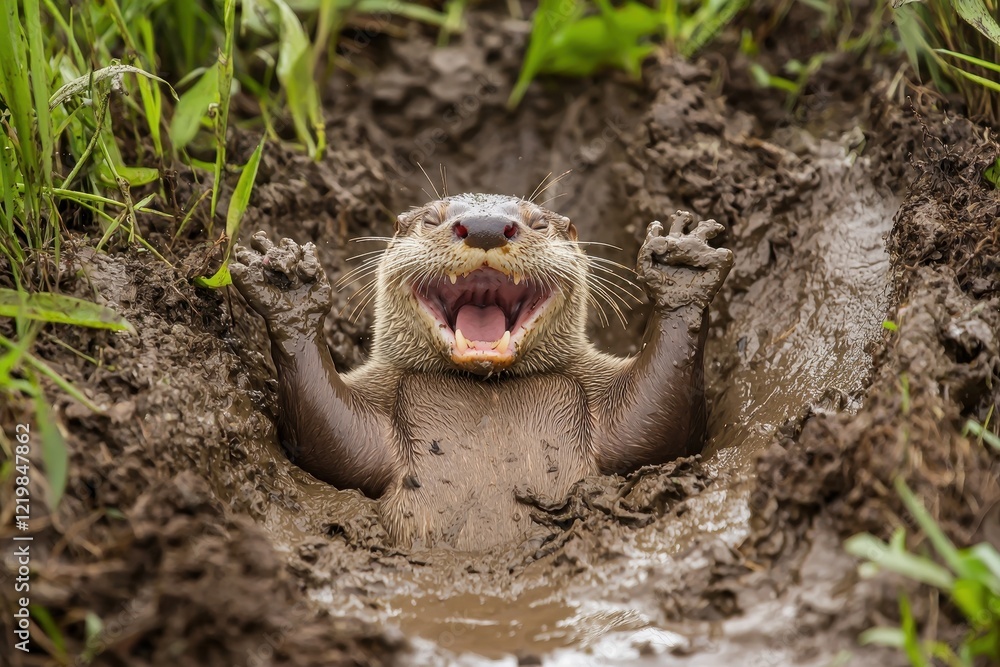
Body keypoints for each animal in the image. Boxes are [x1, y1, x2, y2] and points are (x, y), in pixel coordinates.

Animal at [231, 193, 732, 549]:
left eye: (539, 222)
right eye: (432, 218)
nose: (486, 227)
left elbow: (654, 428)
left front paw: (682, 264)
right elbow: (331, 441)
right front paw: (287, 285)